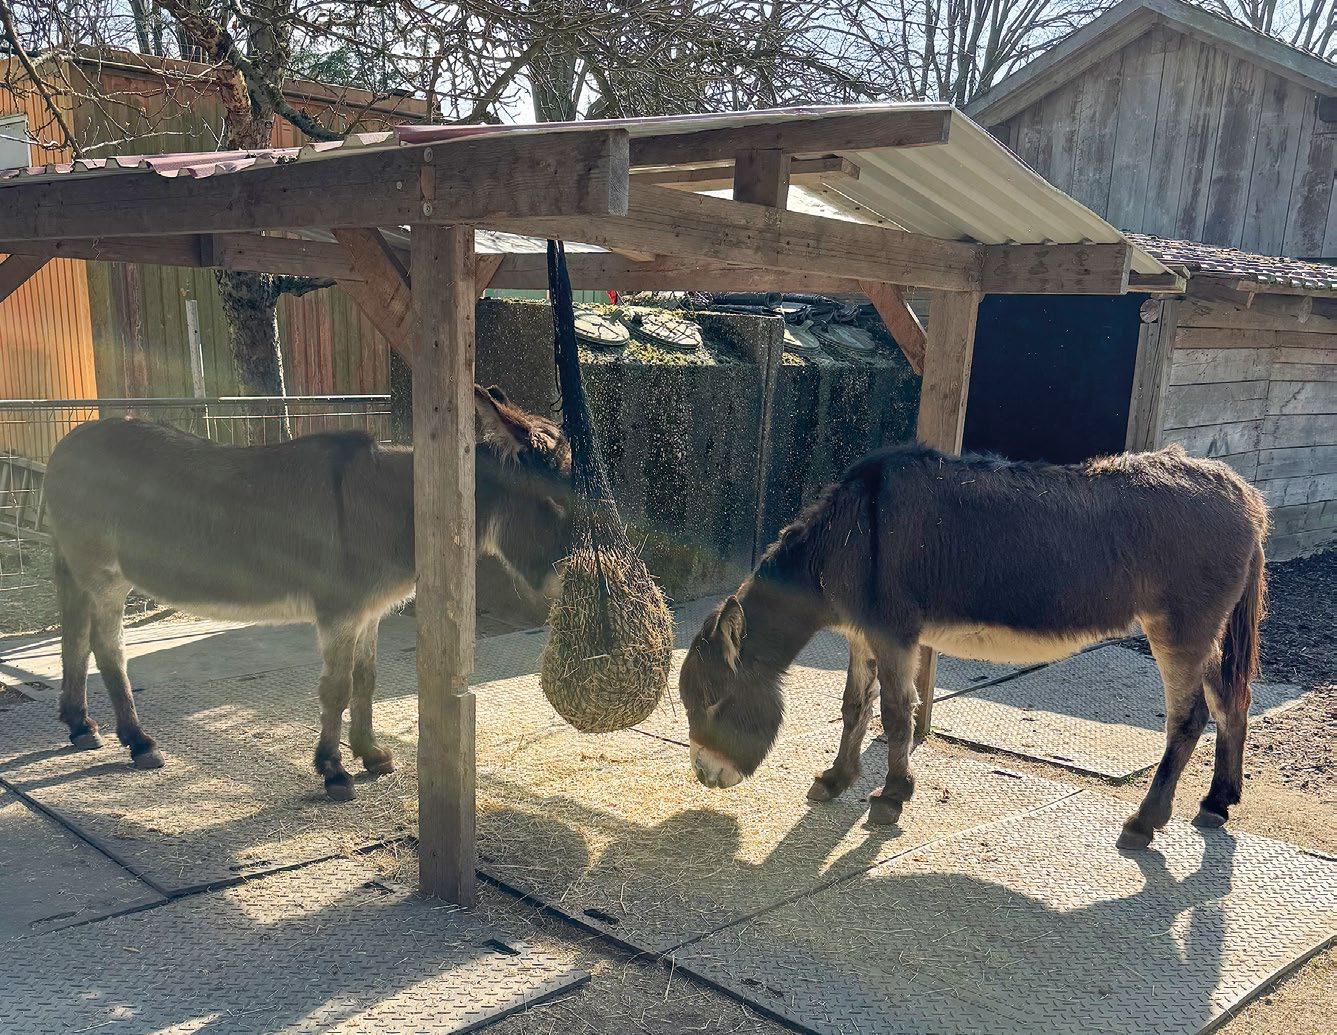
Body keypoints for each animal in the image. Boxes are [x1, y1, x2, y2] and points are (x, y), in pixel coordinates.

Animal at [42, 385, 572, 800]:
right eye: (556, 500)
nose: (566, 578)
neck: (394, 505)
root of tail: (64, 444)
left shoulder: (368, 613)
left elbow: (366, 680)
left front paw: (370, 754)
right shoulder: (339, 613)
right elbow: (335, 687)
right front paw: (334, 771)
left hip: (80, 570)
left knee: (74, 634)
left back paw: (79, 724)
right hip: (104, 574)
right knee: (106, 648)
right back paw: (138, 741)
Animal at [679, 444, 1268, 849]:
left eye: (712, 699)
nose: (705, 778)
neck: (847, 535)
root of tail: (1244, 493)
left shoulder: (894, 635)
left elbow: (896, 715)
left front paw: (891, 798)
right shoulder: (864, 636)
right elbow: (854, 708)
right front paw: (837, 779)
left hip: (1179, 628)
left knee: (1188, 718)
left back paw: (1145, 823)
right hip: (1203, 631)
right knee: (1229, 702)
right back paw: (1217, 803)